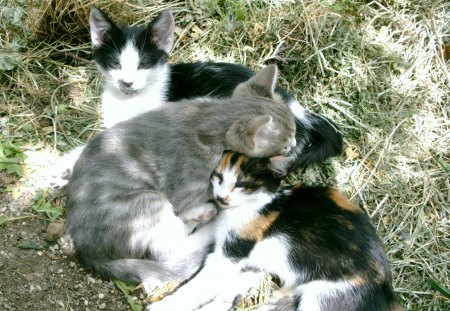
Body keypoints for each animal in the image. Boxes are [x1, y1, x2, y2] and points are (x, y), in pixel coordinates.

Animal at [48, 7, 342, 191]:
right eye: (115, 64)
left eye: (143, 64)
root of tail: (298, 109)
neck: (130, 101)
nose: (126, 83)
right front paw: (64, 168)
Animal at [64, 65, 296, 288]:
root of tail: (86, 249)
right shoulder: (191, 188)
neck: (209, 118)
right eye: (285, 144)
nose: (294, 145)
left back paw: (203, 213)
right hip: (147, 203)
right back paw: (210, 223)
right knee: (169, 249)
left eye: (294, 132)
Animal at [149, 151, 402, 311]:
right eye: (217, 176)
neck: (258, 205)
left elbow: (199, 285)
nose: (221, 199)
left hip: (325, 298)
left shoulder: (230, 254)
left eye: (242, 184)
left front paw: (164, 305)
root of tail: (387, 289)